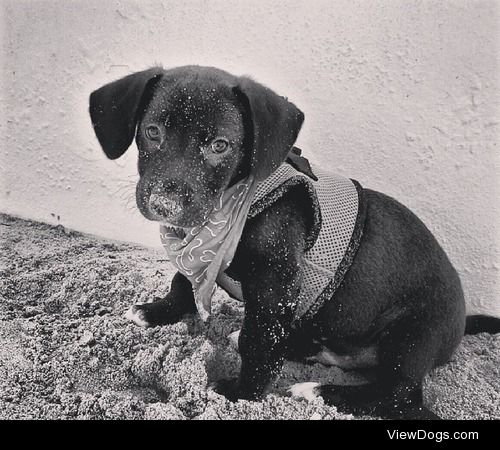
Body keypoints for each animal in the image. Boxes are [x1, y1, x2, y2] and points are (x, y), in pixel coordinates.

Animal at [89, 65, 496, 420]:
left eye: (220, 145)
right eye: (152, 131)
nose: (164, 205)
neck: (234, 206)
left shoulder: (274, 286)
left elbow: (257, 343)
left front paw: (242, 393)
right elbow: (181, 281)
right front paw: (157, 310)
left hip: (412, 335)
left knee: (398, 396)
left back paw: (318, 391)